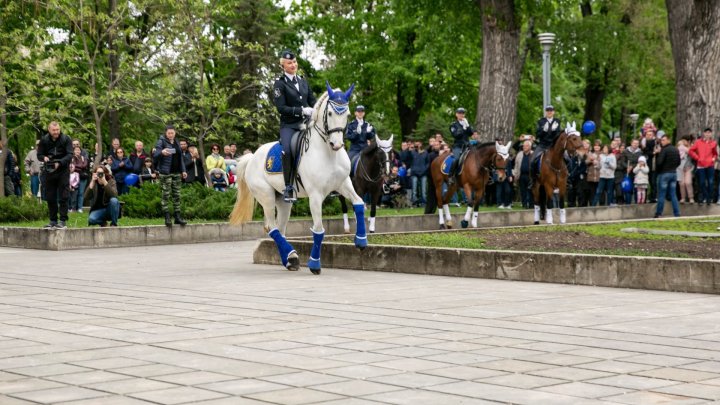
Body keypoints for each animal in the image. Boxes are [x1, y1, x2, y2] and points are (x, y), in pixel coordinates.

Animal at [229, 82, 366, 274]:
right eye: (330, 113)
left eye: (346, 114)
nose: (337, 144)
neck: (328, 153)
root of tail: (252, 157)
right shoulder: (315, 195)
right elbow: (318, 230)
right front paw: (314, 264)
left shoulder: (343, 184)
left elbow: (359, 203)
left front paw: (361, 240)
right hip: (266, 196)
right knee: (272, 228)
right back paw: (292, 256)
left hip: (283, 201)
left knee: (280, 229)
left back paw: (289, 259)